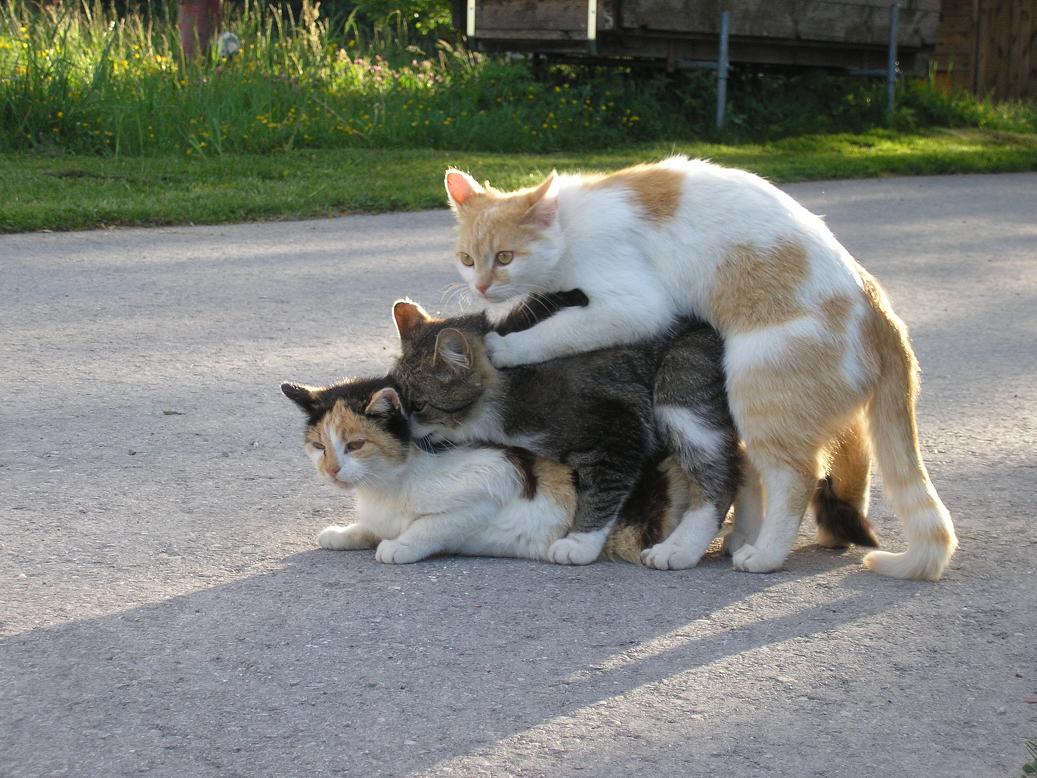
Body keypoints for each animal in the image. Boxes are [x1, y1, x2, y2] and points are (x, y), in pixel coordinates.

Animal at [280, 376, 692, 565]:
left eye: (355, 445)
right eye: (319, 447)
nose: (332, 470)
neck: (387, 485)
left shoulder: (489, 484)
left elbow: (429, 526)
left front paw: (398, 547)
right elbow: (371, 527)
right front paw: (342, 533)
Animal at [442, 157, 955, 580]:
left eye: (505, 257)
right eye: (467, 259)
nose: (481, 286)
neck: (570, 225)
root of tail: (880, 308)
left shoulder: (635, 306)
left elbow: (561, 331)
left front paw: (506, 347)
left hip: (755, 391)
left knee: (793, 478)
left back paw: (760, 554)